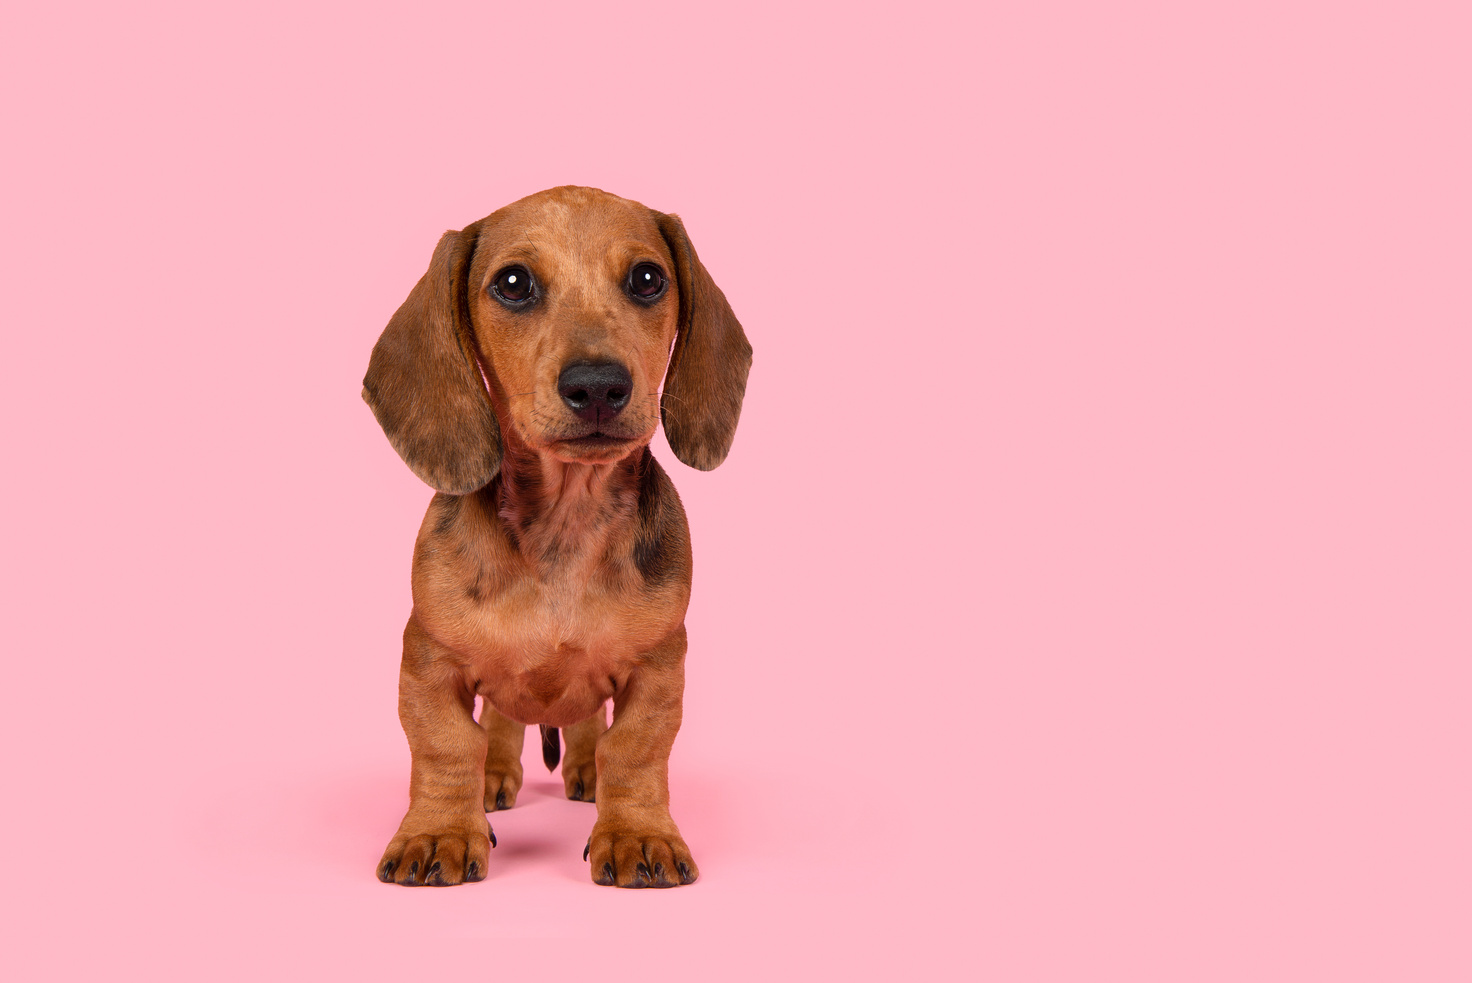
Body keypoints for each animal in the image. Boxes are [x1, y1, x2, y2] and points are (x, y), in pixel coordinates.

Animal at [362, 182, 753, 882]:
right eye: (513, 283)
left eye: (648, 278)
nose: (597, 386)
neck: (565, 531)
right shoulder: (428, 659)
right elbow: (446, 746)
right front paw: (437, 832)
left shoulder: (659, 667)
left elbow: (634, 749)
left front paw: (637, 835)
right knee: (498, 724)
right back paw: (494, 779)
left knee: (589, 728)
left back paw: (585, 774)